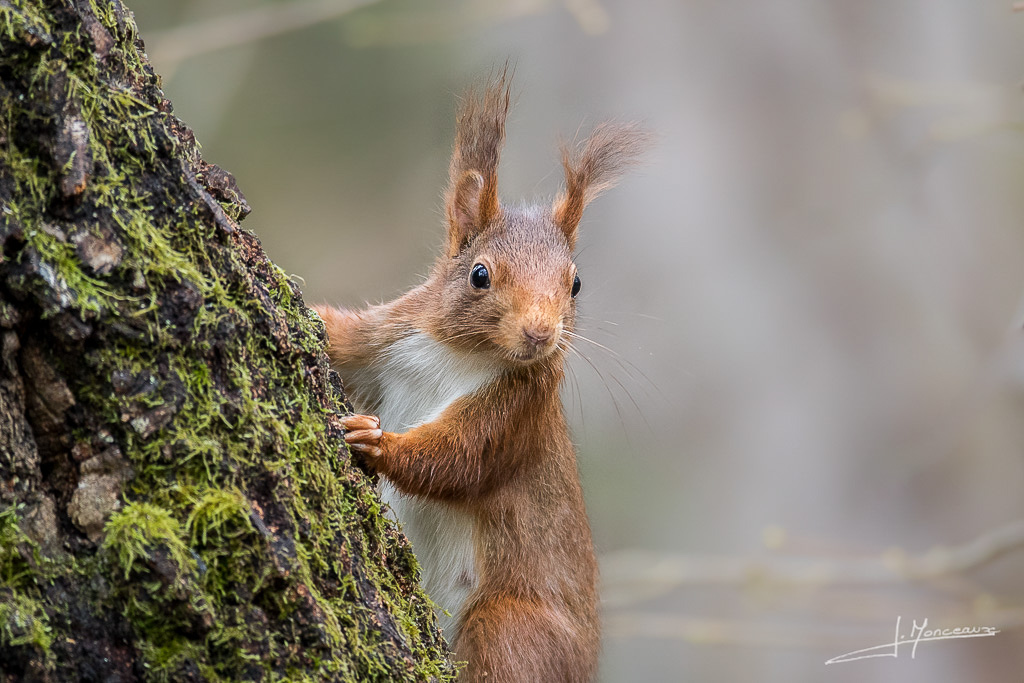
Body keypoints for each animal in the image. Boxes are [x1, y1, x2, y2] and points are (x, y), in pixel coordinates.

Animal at [315, 72, 643, 679]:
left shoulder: (515, 413)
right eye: (479, 275)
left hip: (509, 625)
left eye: (576, 283)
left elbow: (459, 457)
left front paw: (376, 444)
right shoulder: (387, 337)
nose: (540, 333)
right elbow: (340, 340)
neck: (465, 353)